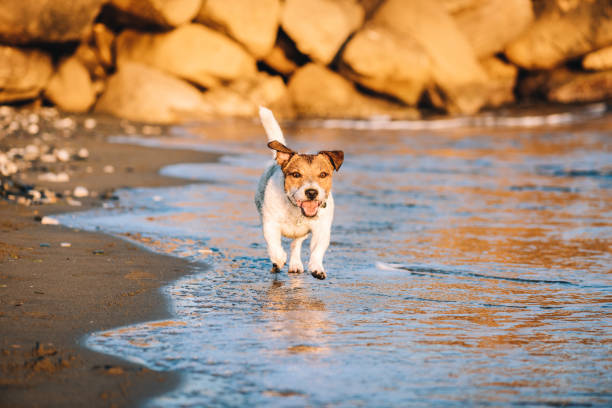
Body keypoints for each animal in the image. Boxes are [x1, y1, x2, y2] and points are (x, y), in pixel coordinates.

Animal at [255, 107, 344, 278]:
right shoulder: (270, 224)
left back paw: (295, 264)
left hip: (303, 234)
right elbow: (274, 244)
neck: (296, 211)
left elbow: (317, 250)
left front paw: (317, 267)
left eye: (323, 174)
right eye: (296, 174)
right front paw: (279, 258)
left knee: (296, 244)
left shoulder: (321, 229)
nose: (311, 192)